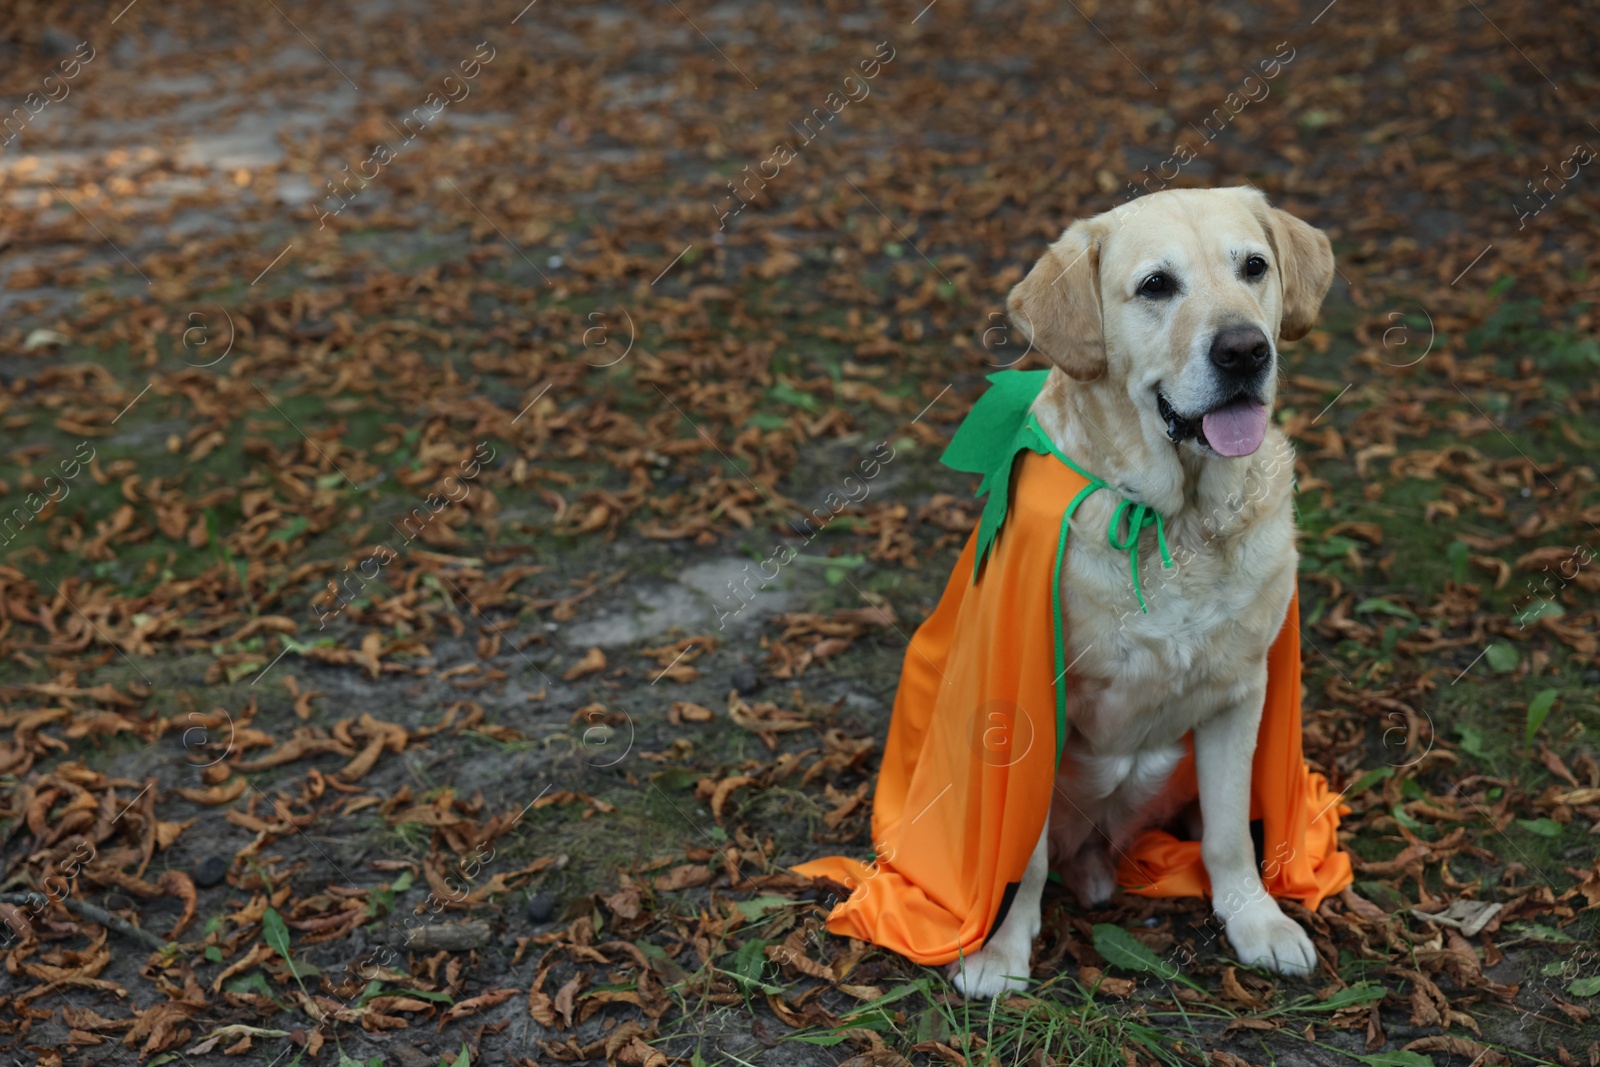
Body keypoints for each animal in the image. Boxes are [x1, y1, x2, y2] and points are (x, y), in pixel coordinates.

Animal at [947, 187, 1337, 998]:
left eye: (1254, 267)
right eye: (1157, 285)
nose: (1245, 350)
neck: (1176, 517)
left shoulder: (1239, 692)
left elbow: (1228, 834)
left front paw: (1255, 920)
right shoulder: (1035, 707)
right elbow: (1025, 854)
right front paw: (1001, 951)